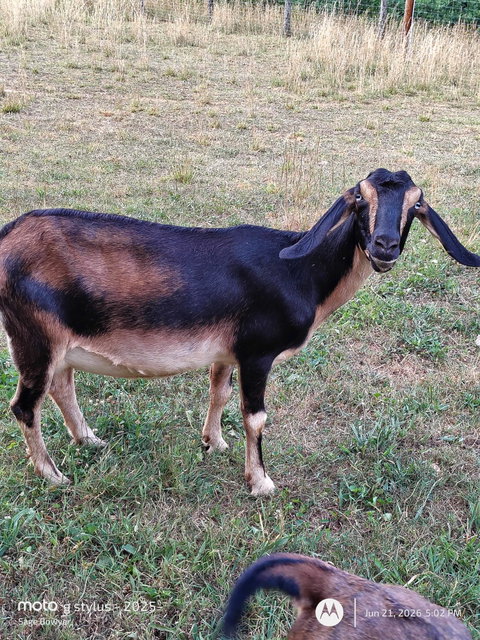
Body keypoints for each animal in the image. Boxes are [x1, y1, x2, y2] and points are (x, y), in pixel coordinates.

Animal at [0, 169, 478, 494]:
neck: (299, 272)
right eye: (360, 198)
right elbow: (255, 415)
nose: (384, 246)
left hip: (60, 342)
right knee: (25, 405)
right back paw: (53, 474)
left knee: (61, 386)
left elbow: (219, 393)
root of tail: (8, 237)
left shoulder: (227, 352)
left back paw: (89, 440)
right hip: (33, 336)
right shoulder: (257, 352)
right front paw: (260, 481)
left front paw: (214, 442)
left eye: (415, 205)